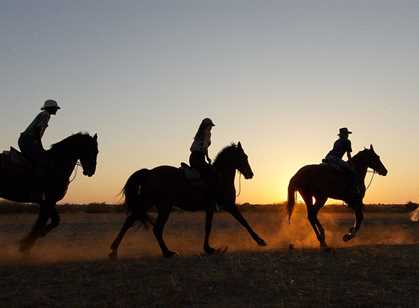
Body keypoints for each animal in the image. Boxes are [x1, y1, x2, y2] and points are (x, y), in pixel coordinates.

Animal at [110, 143, 268, 258]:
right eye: (244, 157)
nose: (250, 174)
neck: (221, 177)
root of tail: (149, 172)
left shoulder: (210, 208)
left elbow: (208, 227)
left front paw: (209, 249)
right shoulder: (229, 206)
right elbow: (244, 222)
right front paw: (261, 241)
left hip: (151, 204)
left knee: (130, 221)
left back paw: (114, 251)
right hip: (161, 206)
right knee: (155, 228)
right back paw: (167, 253)